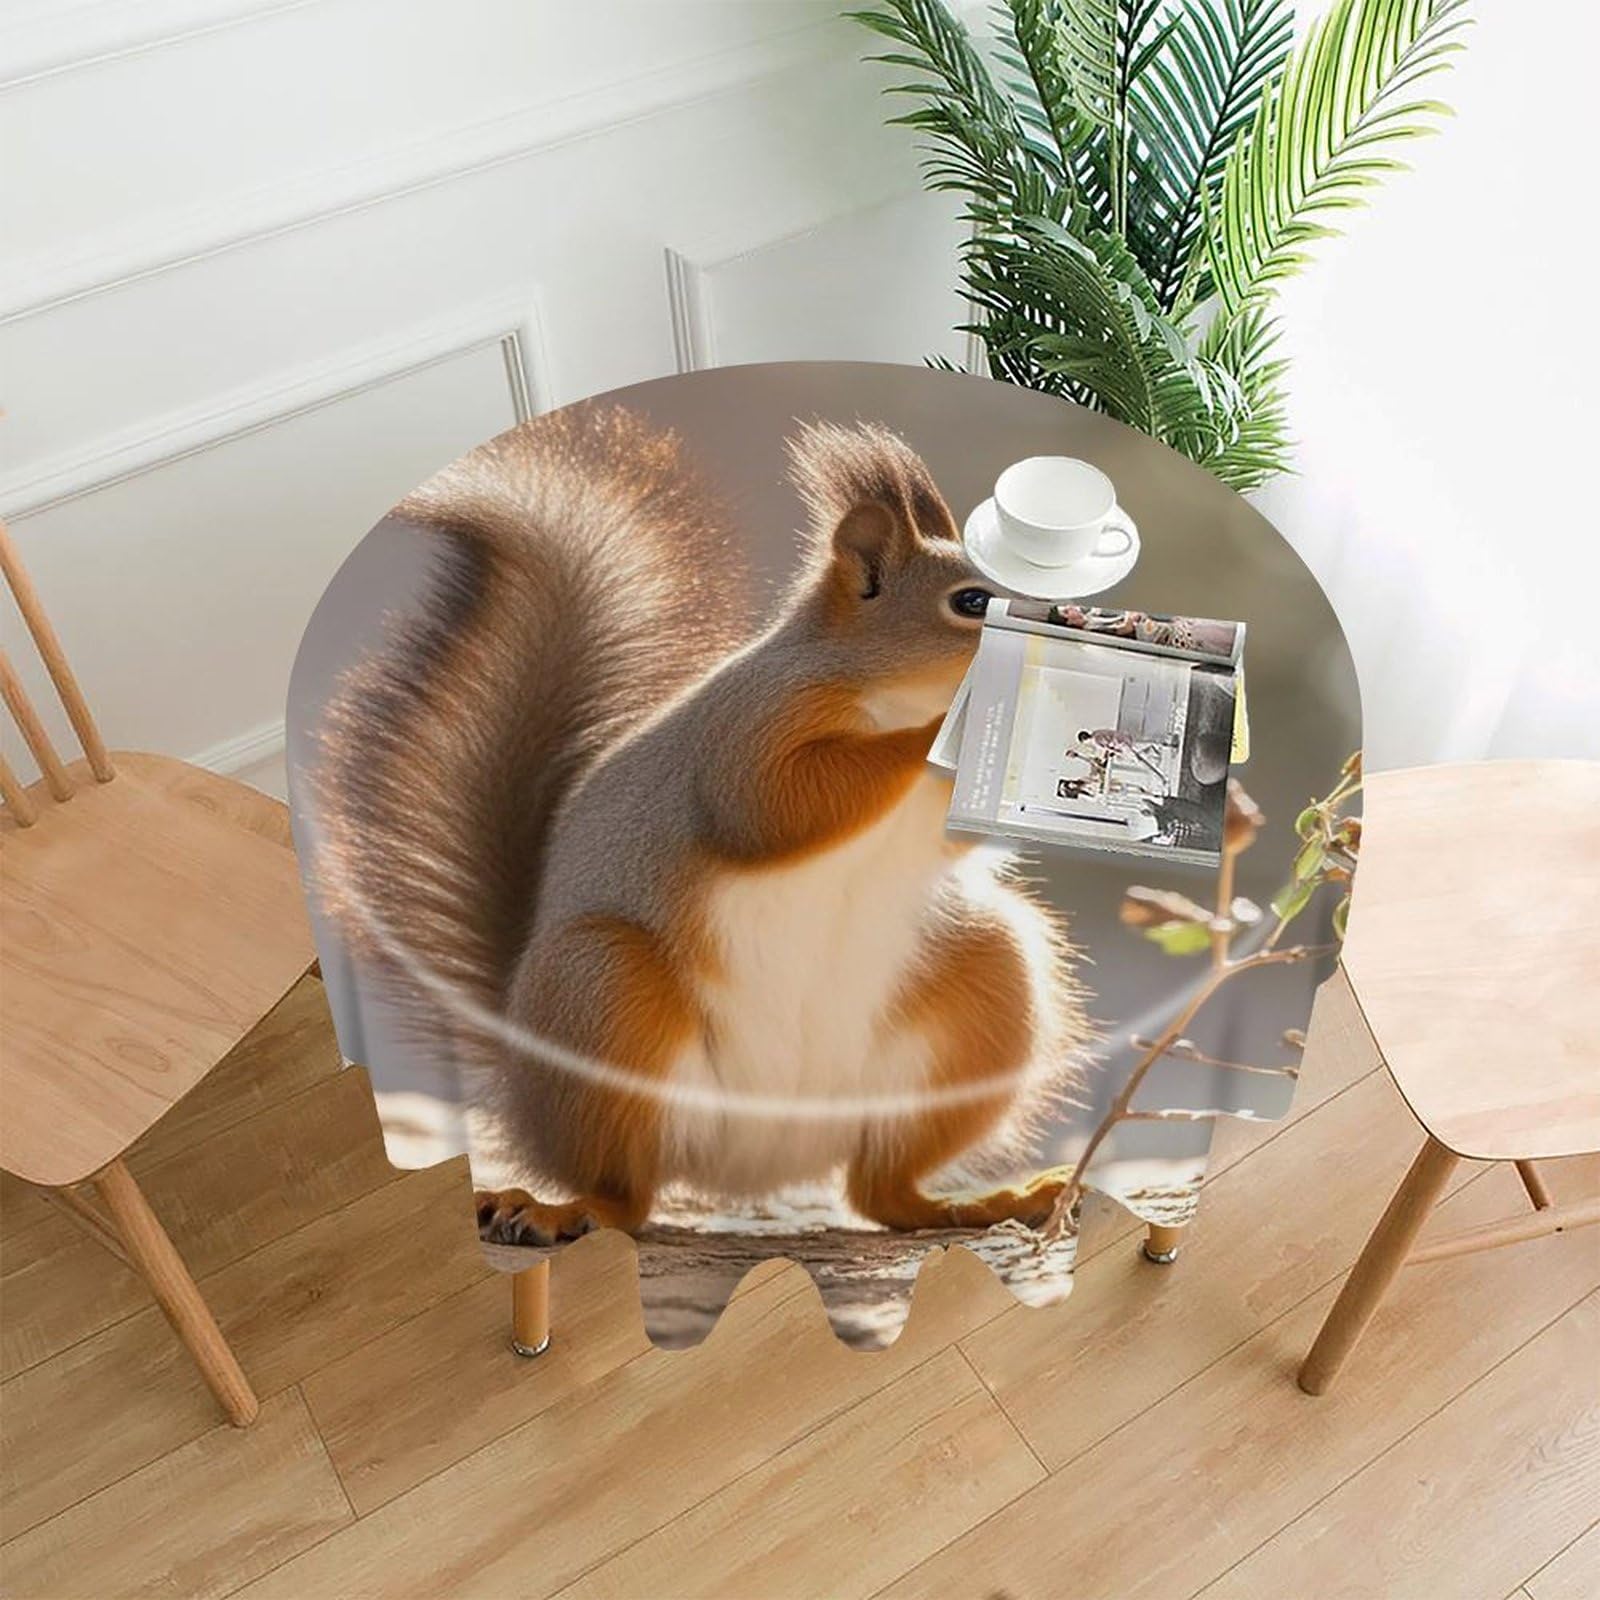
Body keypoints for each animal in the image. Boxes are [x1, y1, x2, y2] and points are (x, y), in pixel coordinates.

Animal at [312, 404, 1087, 1245]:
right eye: (972, 603)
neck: (885, 688)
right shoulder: (750, 732)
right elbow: (772, 806)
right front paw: (952, 728)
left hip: (984, 994)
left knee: (882, 1192)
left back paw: (988, 1201)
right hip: (606, 991)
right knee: (626, 1194)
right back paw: (559, 1208)